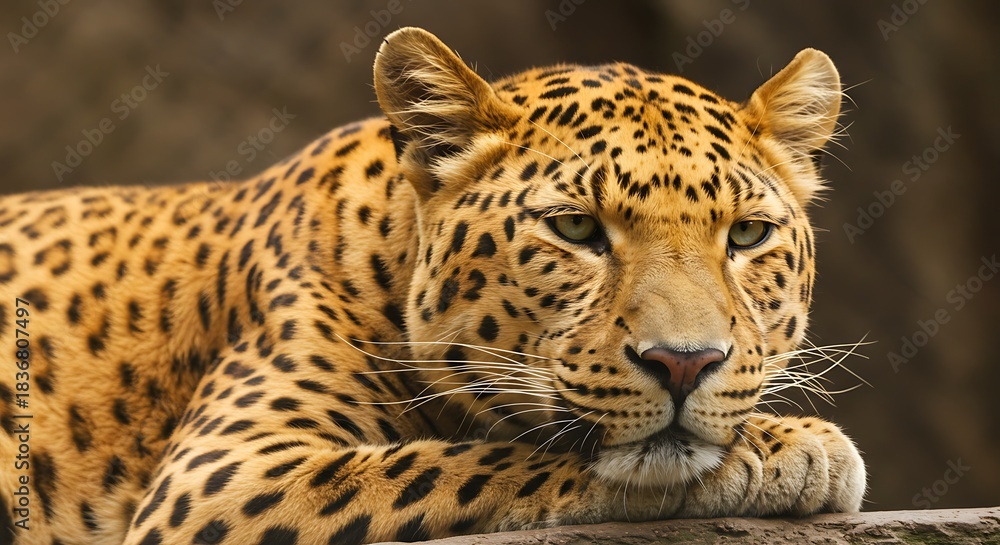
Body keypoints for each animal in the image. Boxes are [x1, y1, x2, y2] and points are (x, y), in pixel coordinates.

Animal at [0, 27, 865, 545]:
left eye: (746, 235)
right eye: (576, 229)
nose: (685, 363)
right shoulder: (218, 477)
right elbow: (455, 458)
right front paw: (789, 445)